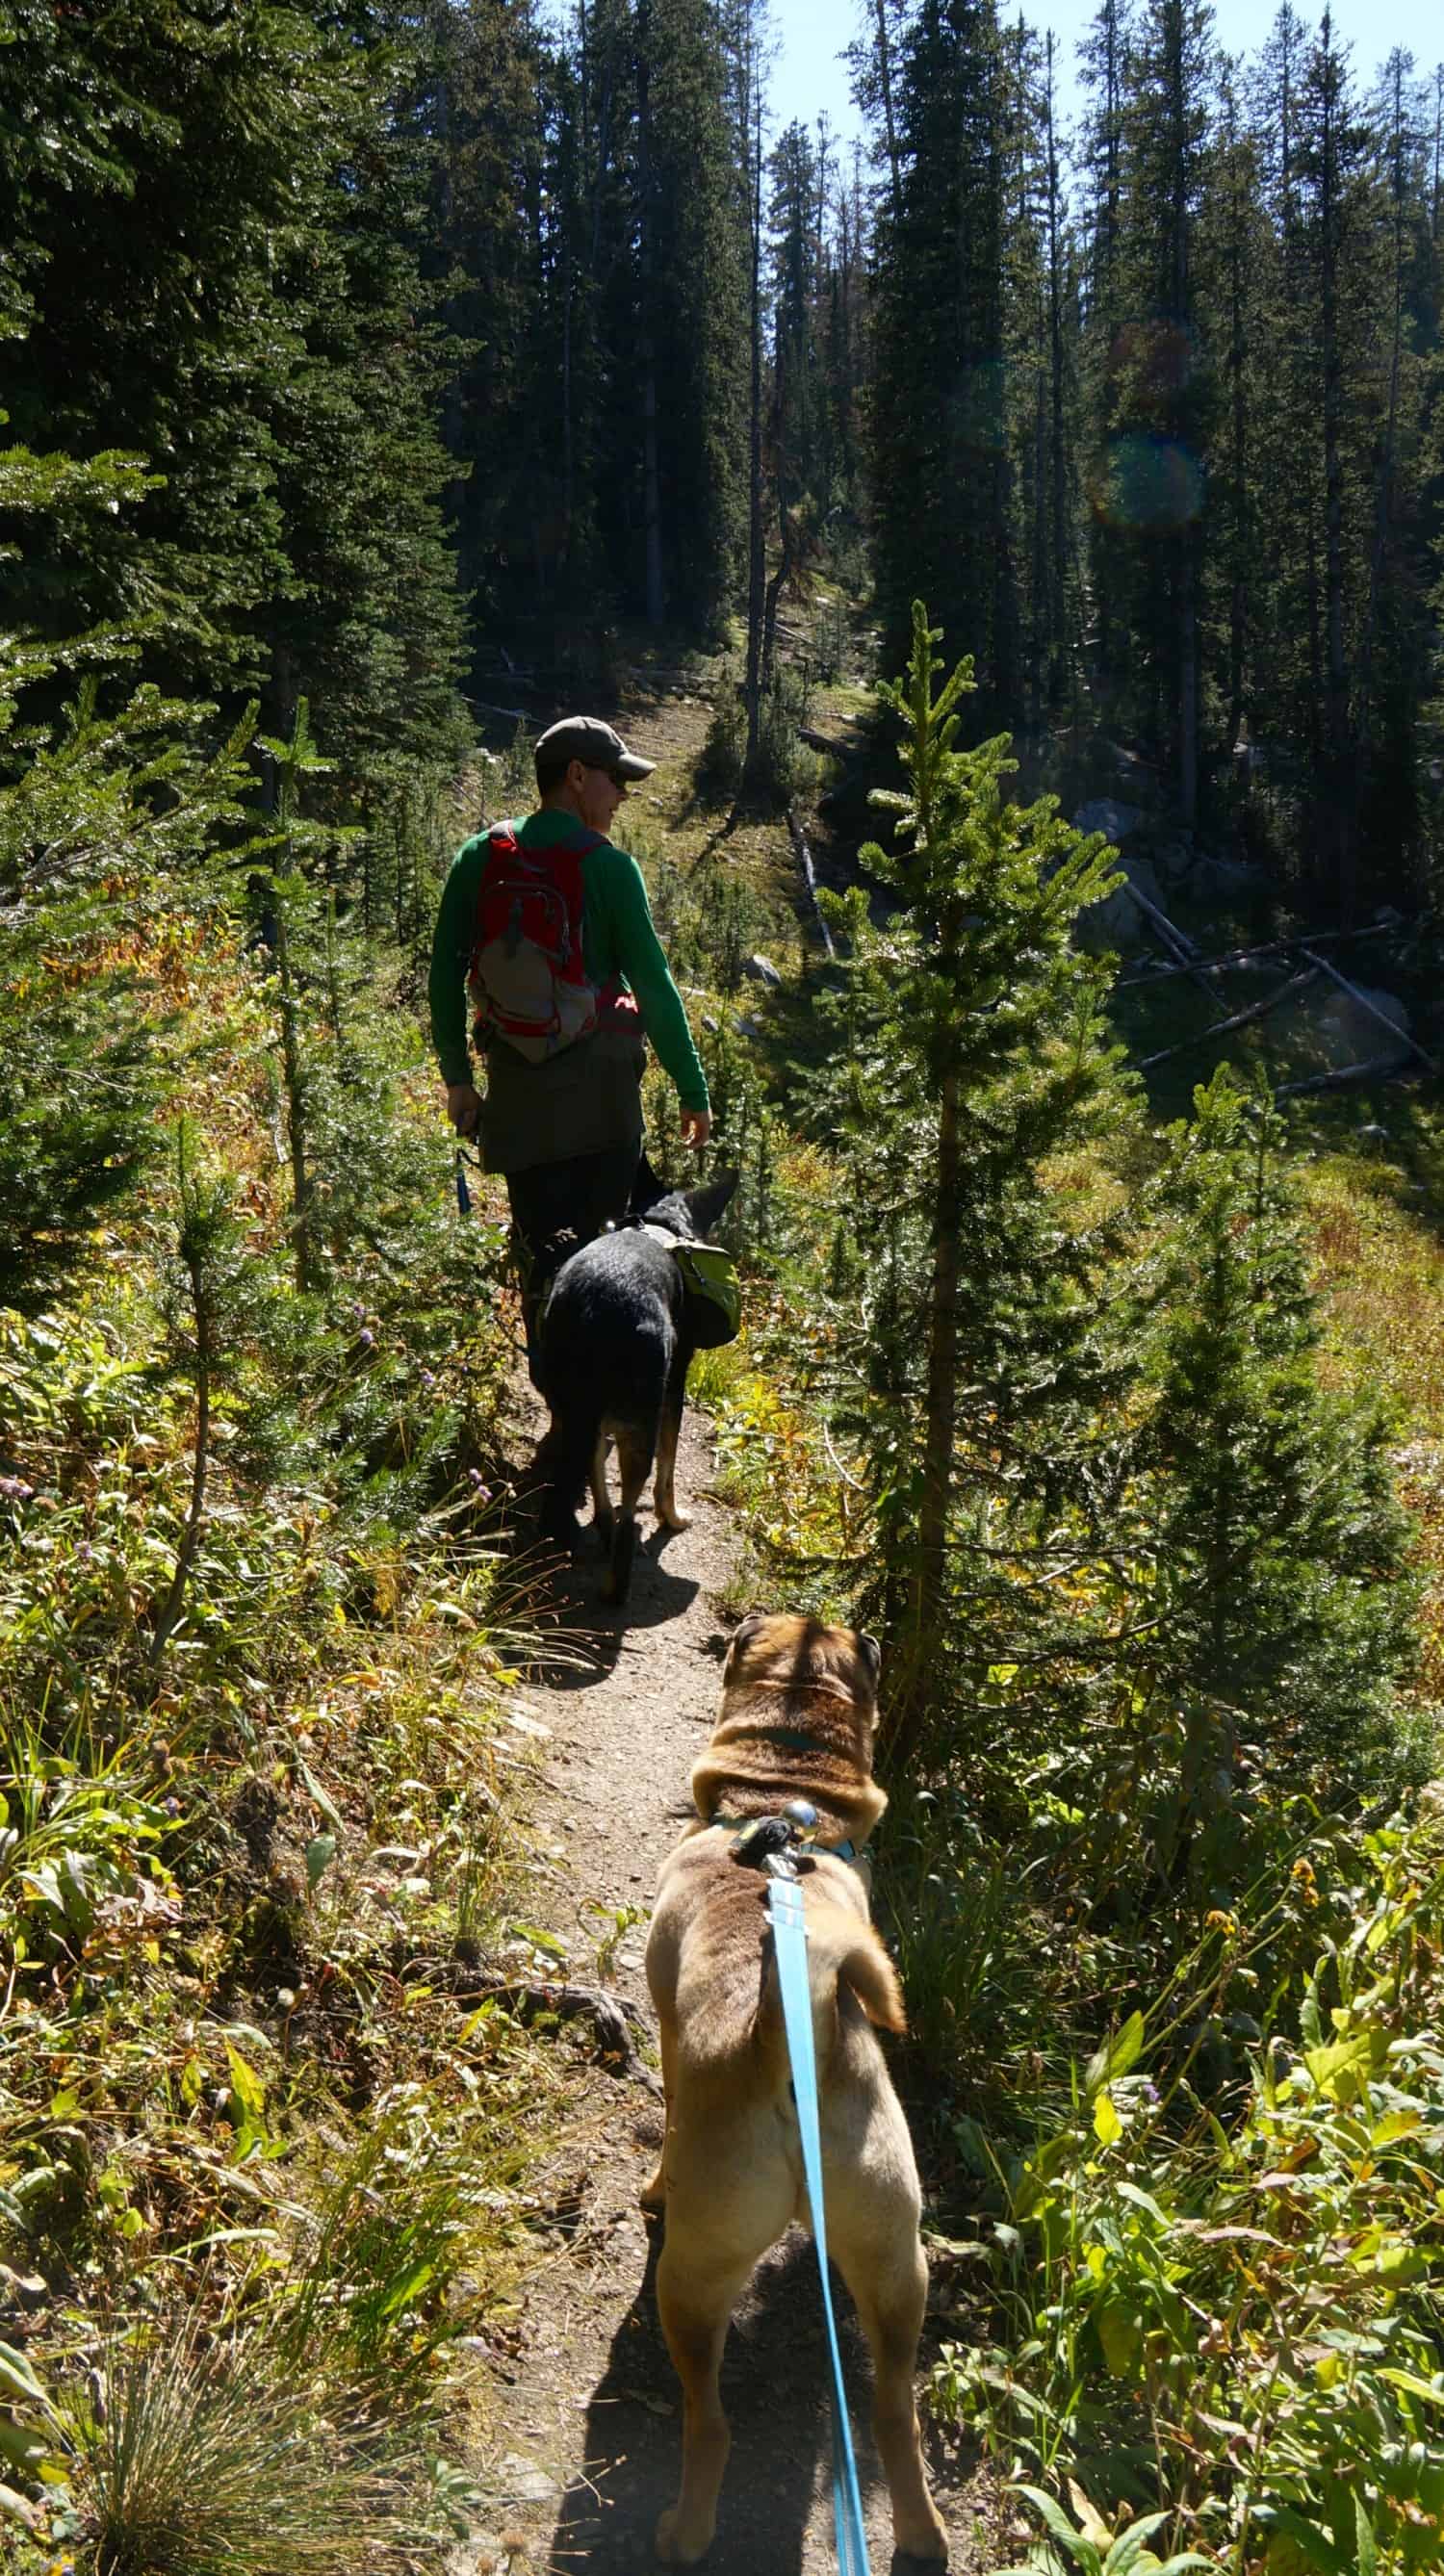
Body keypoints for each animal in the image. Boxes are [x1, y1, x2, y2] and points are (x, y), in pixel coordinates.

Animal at [535, 1174, 735, 1607]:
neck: (658, 1228)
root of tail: (598, 1307)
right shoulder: (674, 1391)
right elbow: (668, 1470)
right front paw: (672, 1518)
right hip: (640, 1421)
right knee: (629, 1508)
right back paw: (616, 1584)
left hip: (573, 1407)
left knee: (590, 1466)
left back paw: (599, 1528)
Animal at [640, 1617, 946, 2565]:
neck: (783, 1786)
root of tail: (788, 2028)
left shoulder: (666, 2033)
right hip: (895, 2258)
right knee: (895, 2417)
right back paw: (922, 2535)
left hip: (693, 2274)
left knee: (709, 2423)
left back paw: (685, 2532)